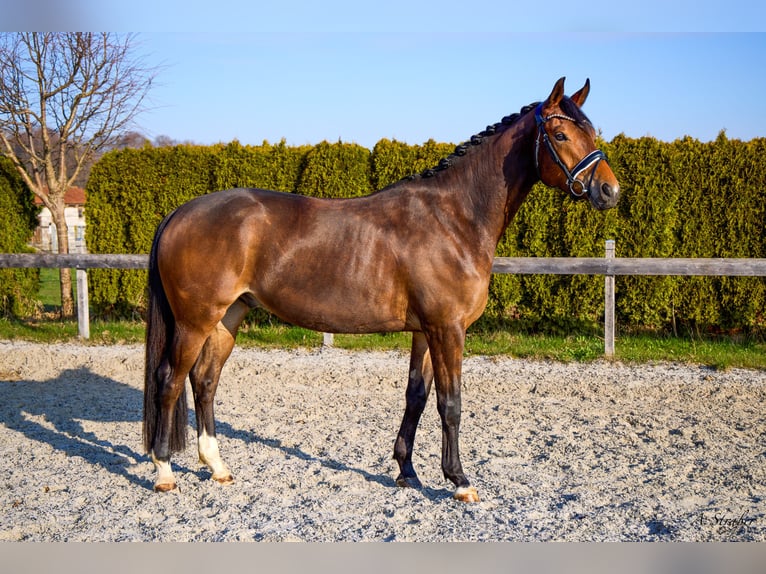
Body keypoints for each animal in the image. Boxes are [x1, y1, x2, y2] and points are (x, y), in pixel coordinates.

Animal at [143, 77, 620, 502]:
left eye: (593, 132)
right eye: (560, 134)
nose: (609, 190)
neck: (454, 218)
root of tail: (180, 213)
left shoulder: (426, 331)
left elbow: (416, 397)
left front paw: (407, 472)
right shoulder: (448, 329)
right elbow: (451, 404)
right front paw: (460, 481)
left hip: (229, 316)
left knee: (205, 381)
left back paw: (218, 467)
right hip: (195, 320)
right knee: (169, 380)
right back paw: (164, 472)